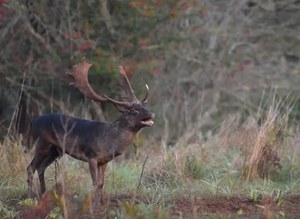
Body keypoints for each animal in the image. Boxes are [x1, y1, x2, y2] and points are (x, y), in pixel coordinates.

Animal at [25, 57, 155, 198]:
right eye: (135, 110)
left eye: (143, 106)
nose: (151, 113)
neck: (109, 141)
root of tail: (33, 122)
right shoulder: (91, 156)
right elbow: (95, 183)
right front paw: (93, 201)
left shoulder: (104, 161)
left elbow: (101, 183)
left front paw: (100, 200)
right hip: (43, 143)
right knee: (30, 167)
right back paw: (31, 195)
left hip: (55, 150)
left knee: (41, 167)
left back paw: (43, 193)